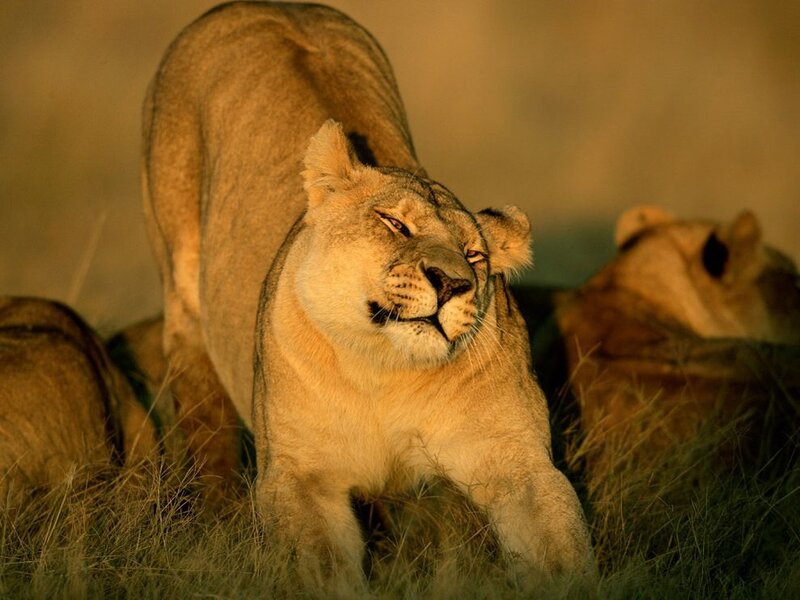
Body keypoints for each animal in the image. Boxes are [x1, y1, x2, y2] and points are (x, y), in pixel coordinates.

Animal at [142, 0, 592, 586]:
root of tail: (270, 5)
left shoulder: (518, 462)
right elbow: (325, 571)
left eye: (475, 256)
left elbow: (559, 550)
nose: (452, 283)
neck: (384, 371)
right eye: (394, 224)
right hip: (182, 294)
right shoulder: (299, 479)